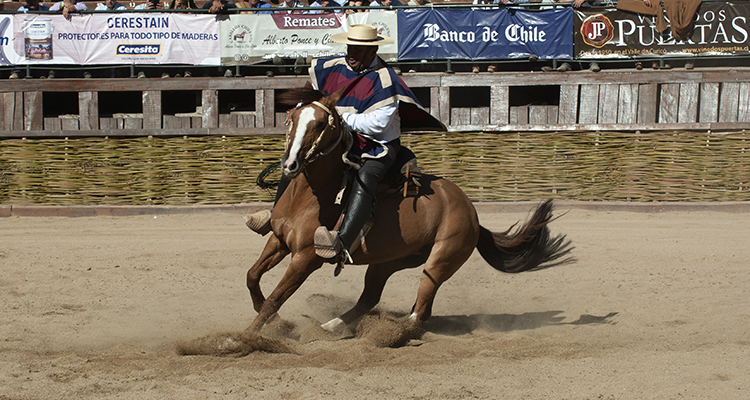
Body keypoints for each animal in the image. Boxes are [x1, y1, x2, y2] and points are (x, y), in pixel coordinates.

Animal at [244, 87, 572, 334]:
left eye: (321, 124)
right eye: (291, 118)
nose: (290, 164)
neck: (311, 198)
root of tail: (471, 212)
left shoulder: (306, 258)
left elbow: (276, 297)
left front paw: (244, 339)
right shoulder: (279, 241)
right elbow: (252, 276)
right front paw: (271, 319)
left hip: (441, 260)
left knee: (420, 310)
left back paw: (391, 331)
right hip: (389, 261)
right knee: (371, 299)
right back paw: (330, 327)